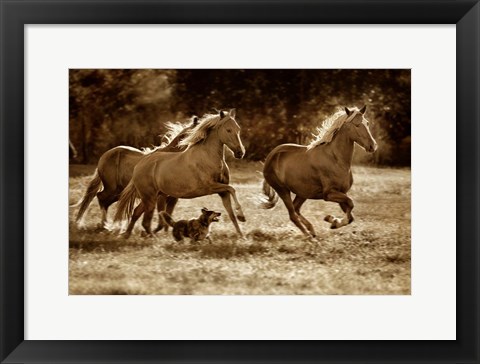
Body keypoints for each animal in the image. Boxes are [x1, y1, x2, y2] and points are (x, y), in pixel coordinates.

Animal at [114, 108, 246, 239]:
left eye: (238, 129)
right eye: (228, 130)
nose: (240, 153)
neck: (208, 157)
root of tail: (139, 165)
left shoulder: (222, 192)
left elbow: (231, 213)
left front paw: (241, 234)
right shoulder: (210, 187)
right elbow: (232, 188)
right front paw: (242, 216)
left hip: (152, 196)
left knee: (136, 213)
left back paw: (127, 235)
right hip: (150, 198)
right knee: (146, 221)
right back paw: (152, 237)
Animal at [260, 104, 376, 239]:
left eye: (367, 123)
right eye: (357, 125)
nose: (372, 146)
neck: (336, 159)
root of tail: (271, 156)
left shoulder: (342, 192)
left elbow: (350, 214)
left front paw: (333, 221)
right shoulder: (329, 194)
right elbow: (351, 204)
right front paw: (332, 220)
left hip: (303, 193)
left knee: (296, 209)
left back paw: (312, 231)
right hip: (283, 190)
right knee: (292, 214)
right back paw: (309, 236)